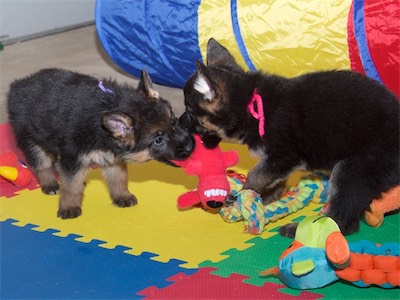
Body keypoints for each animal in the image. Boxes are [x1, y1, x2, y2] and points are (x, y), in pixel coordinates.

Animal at [6, 67, 194, 218]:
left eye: (174, 122)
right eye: (158, 140)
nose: (190, 147)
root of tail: (18, 85)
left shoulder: (112, 159)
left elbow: (118, 179)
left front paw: (122, 196)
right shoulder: (72, 158)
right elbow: (71, 187)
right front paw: (69, 207)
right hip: (32, 141)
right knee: (42, 165)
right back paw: (50, 185)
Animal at [181, 38, 400, 237]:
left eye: (190, 113)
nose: (177, 125)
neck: (252, 105)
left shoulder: (285, 156)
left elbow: (256, 174)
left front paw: (243, 193)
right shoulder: (278, 162)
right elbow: (274, 178)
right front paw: (268, 196)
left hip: (354, 169)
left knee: (343, 221)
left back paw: (300, 230)